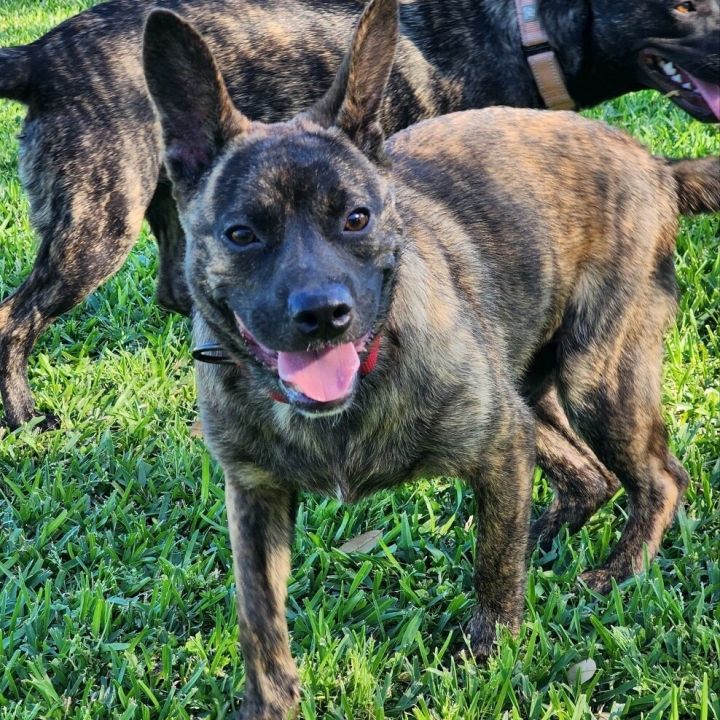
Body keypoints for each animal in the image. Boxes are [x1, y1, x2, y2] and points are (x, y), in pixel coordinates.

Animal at [0, 0, 720, 430]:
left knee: (179, 294)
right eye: (681, 5)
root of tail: (40, 53)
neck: (525, 30)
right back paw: (24, 416)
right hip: (98, 224)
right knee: (15, 317)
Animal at [142, 0, 720, 716]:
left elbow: (493, 573)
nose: (323, 313)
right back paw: (542, 536)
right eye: (241, 234)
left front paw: (488, 656)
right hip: (529, 394)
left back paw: (617, 569)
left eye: (357, 219)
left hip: (597, 380)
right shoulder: (254, 497)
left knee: (659, 479)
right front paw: (269, 703)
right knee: (588, 477)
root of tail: (657, 165)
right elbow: (259, 617)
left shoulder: (498, 444)